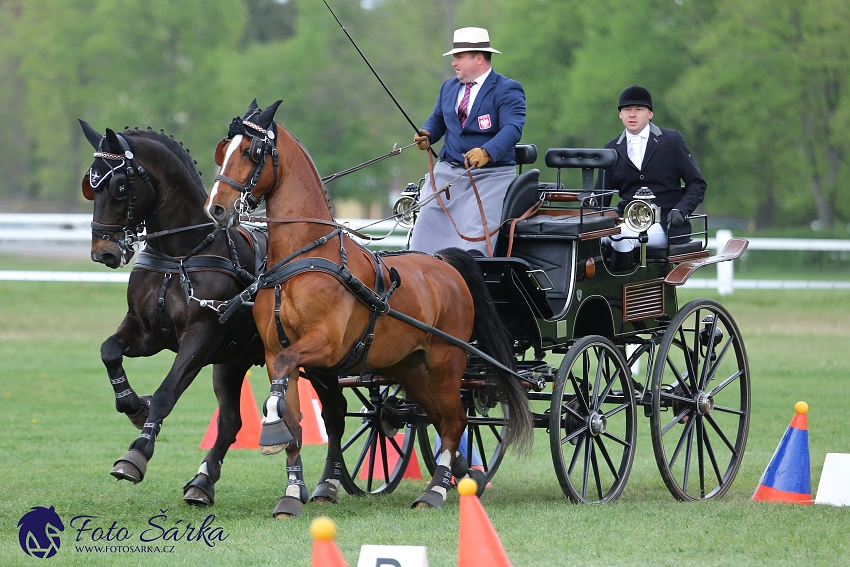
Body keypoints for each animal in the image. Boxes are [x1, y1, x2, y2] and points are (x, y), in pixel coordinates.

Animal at [80, 121, 292, 510]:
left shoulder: (200, 338)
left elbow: (167, 392)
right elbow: (109, 351)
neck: (180, 254)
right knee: (230, 422)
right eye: (91, 183)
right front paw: (134, 406)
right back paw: (202, 483)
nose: (102, 252)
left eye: (119, 186)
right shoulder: (146, 332)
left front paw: (138, 452)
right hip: (231, 363)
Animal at [202, 102, 528, 516]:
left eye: (251, 151)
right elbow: (295, 421)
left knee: (455, 421)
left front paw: (271, 428)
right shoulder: (276, 352)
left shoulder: (324, 346)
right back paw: (465, 477)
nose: (216, 208)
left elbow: (292, 389)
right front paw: (291, 491)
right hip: (409, 366)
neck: (303, 259)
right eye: (223, 150)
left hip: (447, 360)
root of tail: (445, 262)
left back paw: (436, 491)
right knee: (439, 418)